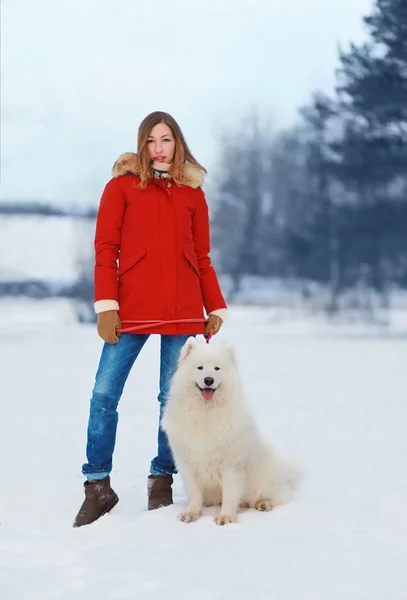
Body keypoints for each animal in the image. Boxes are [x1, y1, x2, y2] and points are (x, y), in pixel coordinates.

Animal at [162, 338, 300, 524]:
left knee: (274, 497)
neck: (206, 413)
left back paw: (264, 504)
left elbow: (229, 495)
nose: (208, 380)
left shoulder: (231, 465)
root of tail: (285, 475)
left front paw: (225, 517)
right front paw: (191, 513)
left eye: (217, 368)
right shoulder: (188, 465)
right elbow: (195, 494)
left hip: (265, 477)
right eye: (200, 367)